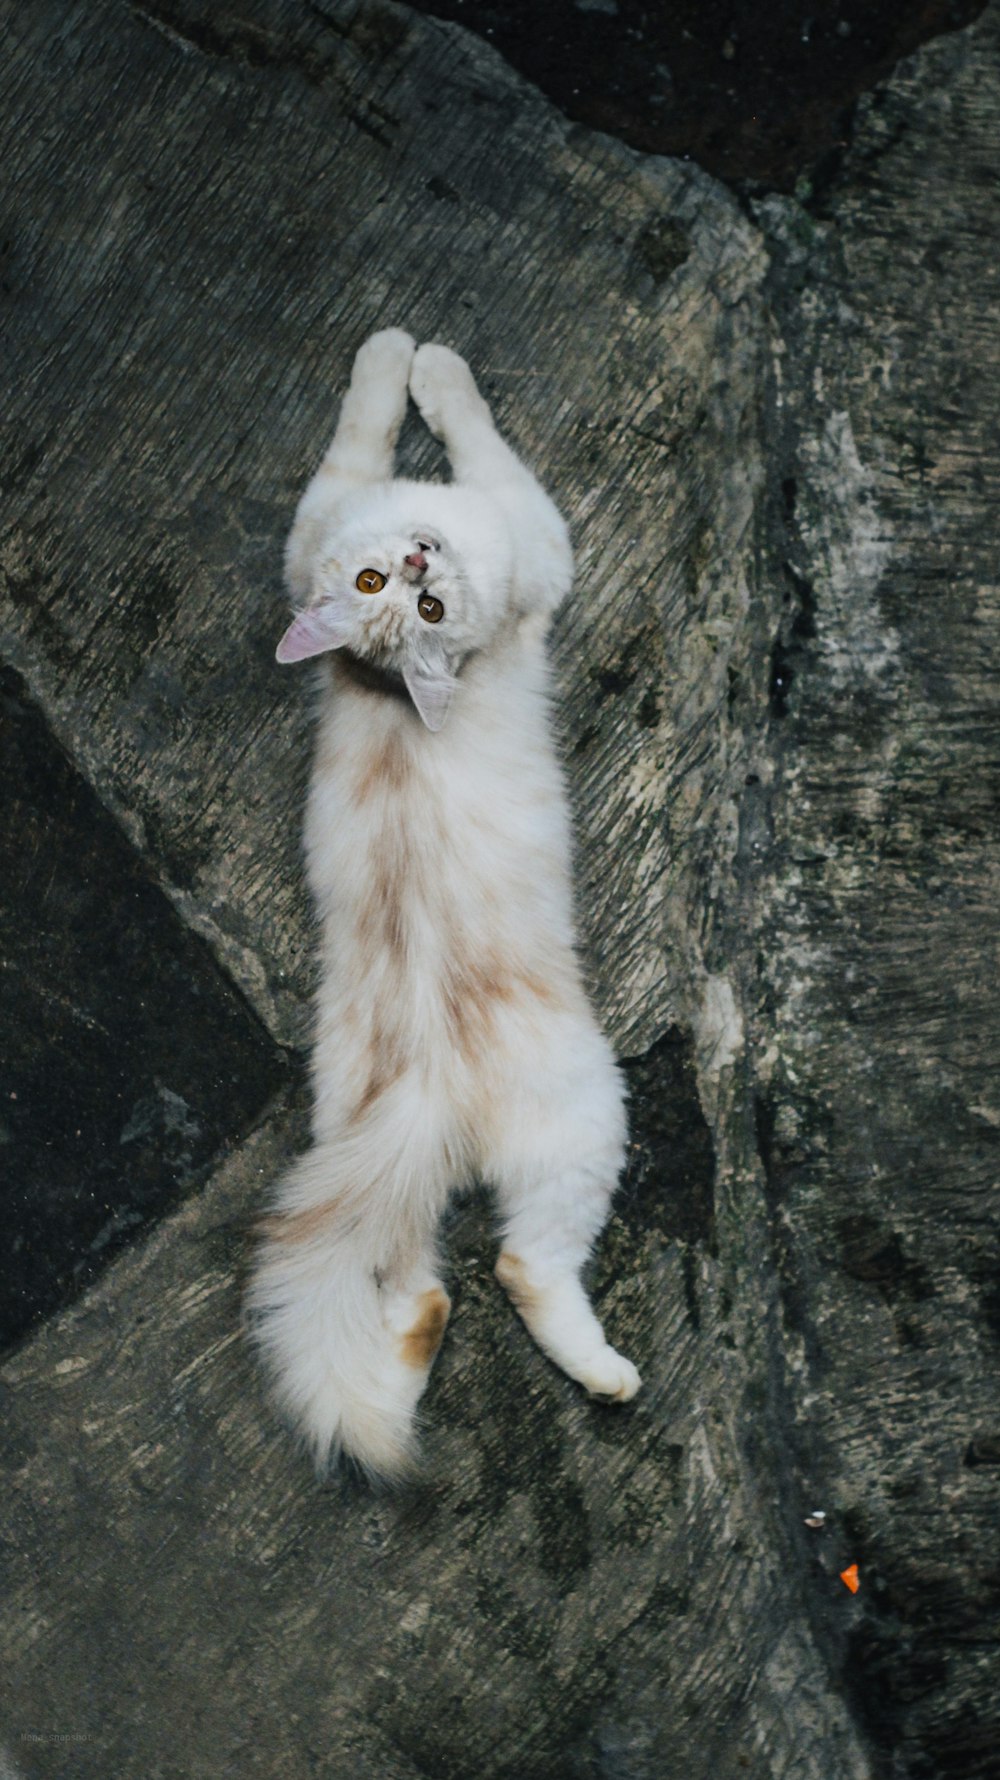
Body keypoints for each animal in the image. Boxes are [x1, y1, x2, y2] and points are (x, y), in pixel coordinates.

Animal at [249, 331, 637, 1473]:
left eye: (415, 601)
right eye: (377, 582)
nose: (422, 559)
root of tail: (425, 1084)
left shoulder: (316, 523)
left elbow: (371, 436)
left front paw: (410, 366)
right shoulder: (529, 526)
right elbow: (440, 421)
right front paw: (416, 359)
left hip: (363, 1161)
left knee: (418, 1289)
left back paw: (413, 1353)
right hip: (587, 1117)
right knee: (521, 1269)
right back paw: (609, 1377)